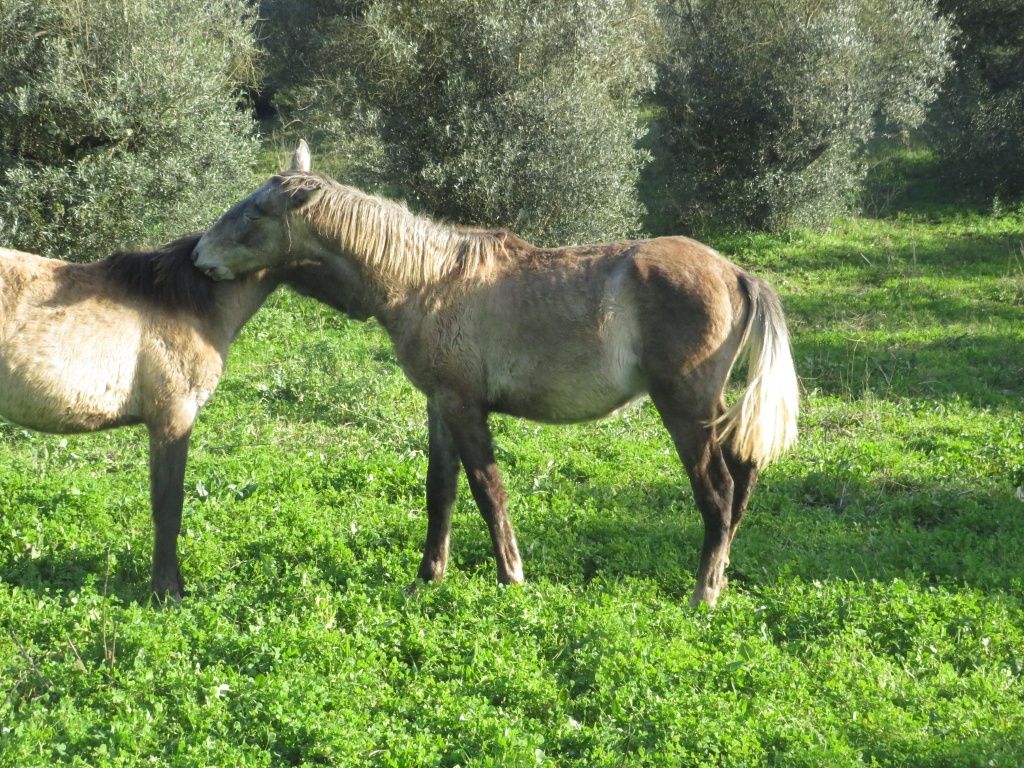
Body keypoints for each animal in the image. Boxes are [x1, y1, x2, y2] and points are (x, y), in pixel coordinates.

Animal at [192, 143, 798, 606]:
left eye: (255, 212)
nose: (199, 257)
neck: (425, 279)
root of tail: (736, 273)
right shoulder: (439, 404)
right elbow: (441, 492)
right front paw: (427, 578)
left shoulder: (464, 407)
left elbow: (488, 491)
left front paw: (511, 576)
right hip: (711, 409)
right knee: (743, 474)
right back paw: (720, 576)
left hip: (684, 409)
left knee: (719, 491)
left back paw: (703, 594)